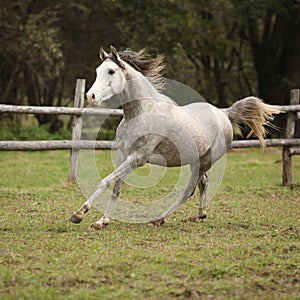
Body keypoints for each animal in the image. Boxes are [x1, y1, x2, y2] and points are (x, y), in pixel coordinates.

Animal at [69, 45, 278, 229]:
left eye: (111, 71)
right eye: (98, 71)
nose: (91, 96)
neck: (141, 112)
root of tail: (224, 113)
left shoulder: (137, 158)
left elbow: (105, 181)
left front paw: (79, 214)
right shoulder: (123, 154)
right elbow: (116, 187)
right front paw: (101, 221)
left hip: (205, 162)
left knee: (187, 192)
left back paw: (158, 219)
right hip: (196, 161)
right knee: (204, 183)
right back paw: (198, 215)